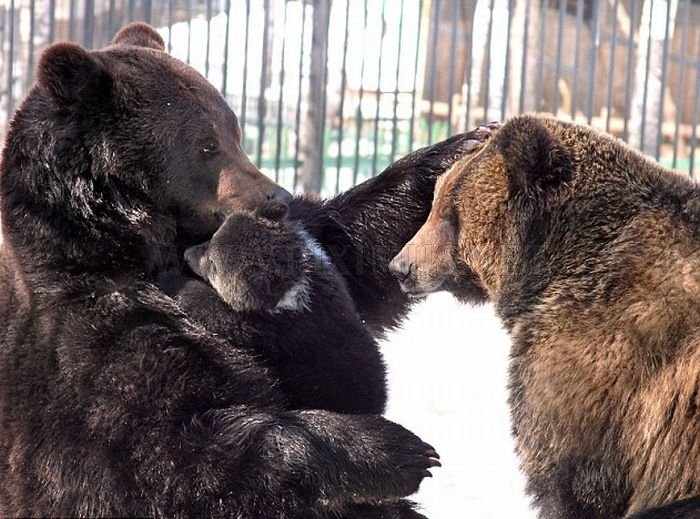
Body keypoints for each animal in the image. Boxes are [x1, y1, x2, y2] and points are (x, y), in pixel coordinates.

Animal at [0, 22, 498, 516]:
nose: (277, 198)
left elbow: (354, 246)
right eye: (206, 145)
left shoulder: (307, 250)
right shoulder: (91, 340)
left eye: (235, 130)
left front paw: (466, 143)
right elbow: (173, 451)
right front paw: (395, 449)